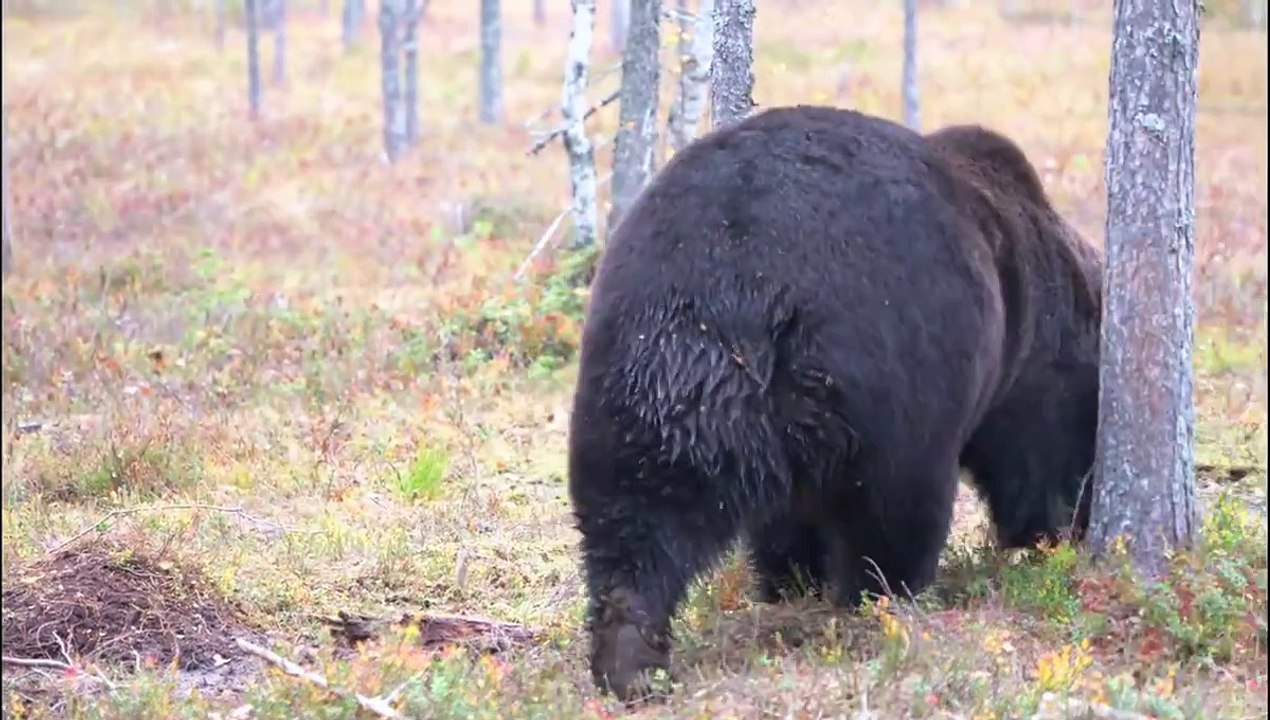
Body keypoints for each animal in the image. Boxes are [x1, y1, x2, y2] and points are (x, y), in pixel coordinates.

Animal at [566, 105, 1103, 703]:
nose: (1077, 527)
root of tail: (734, 285)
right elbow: (1026, 455)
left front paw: (793, 582)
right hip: (882, 374)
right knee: (892, 509)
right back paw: (877, 600)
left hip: (642, 368)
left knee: (634, 515)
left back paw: (630, 659)